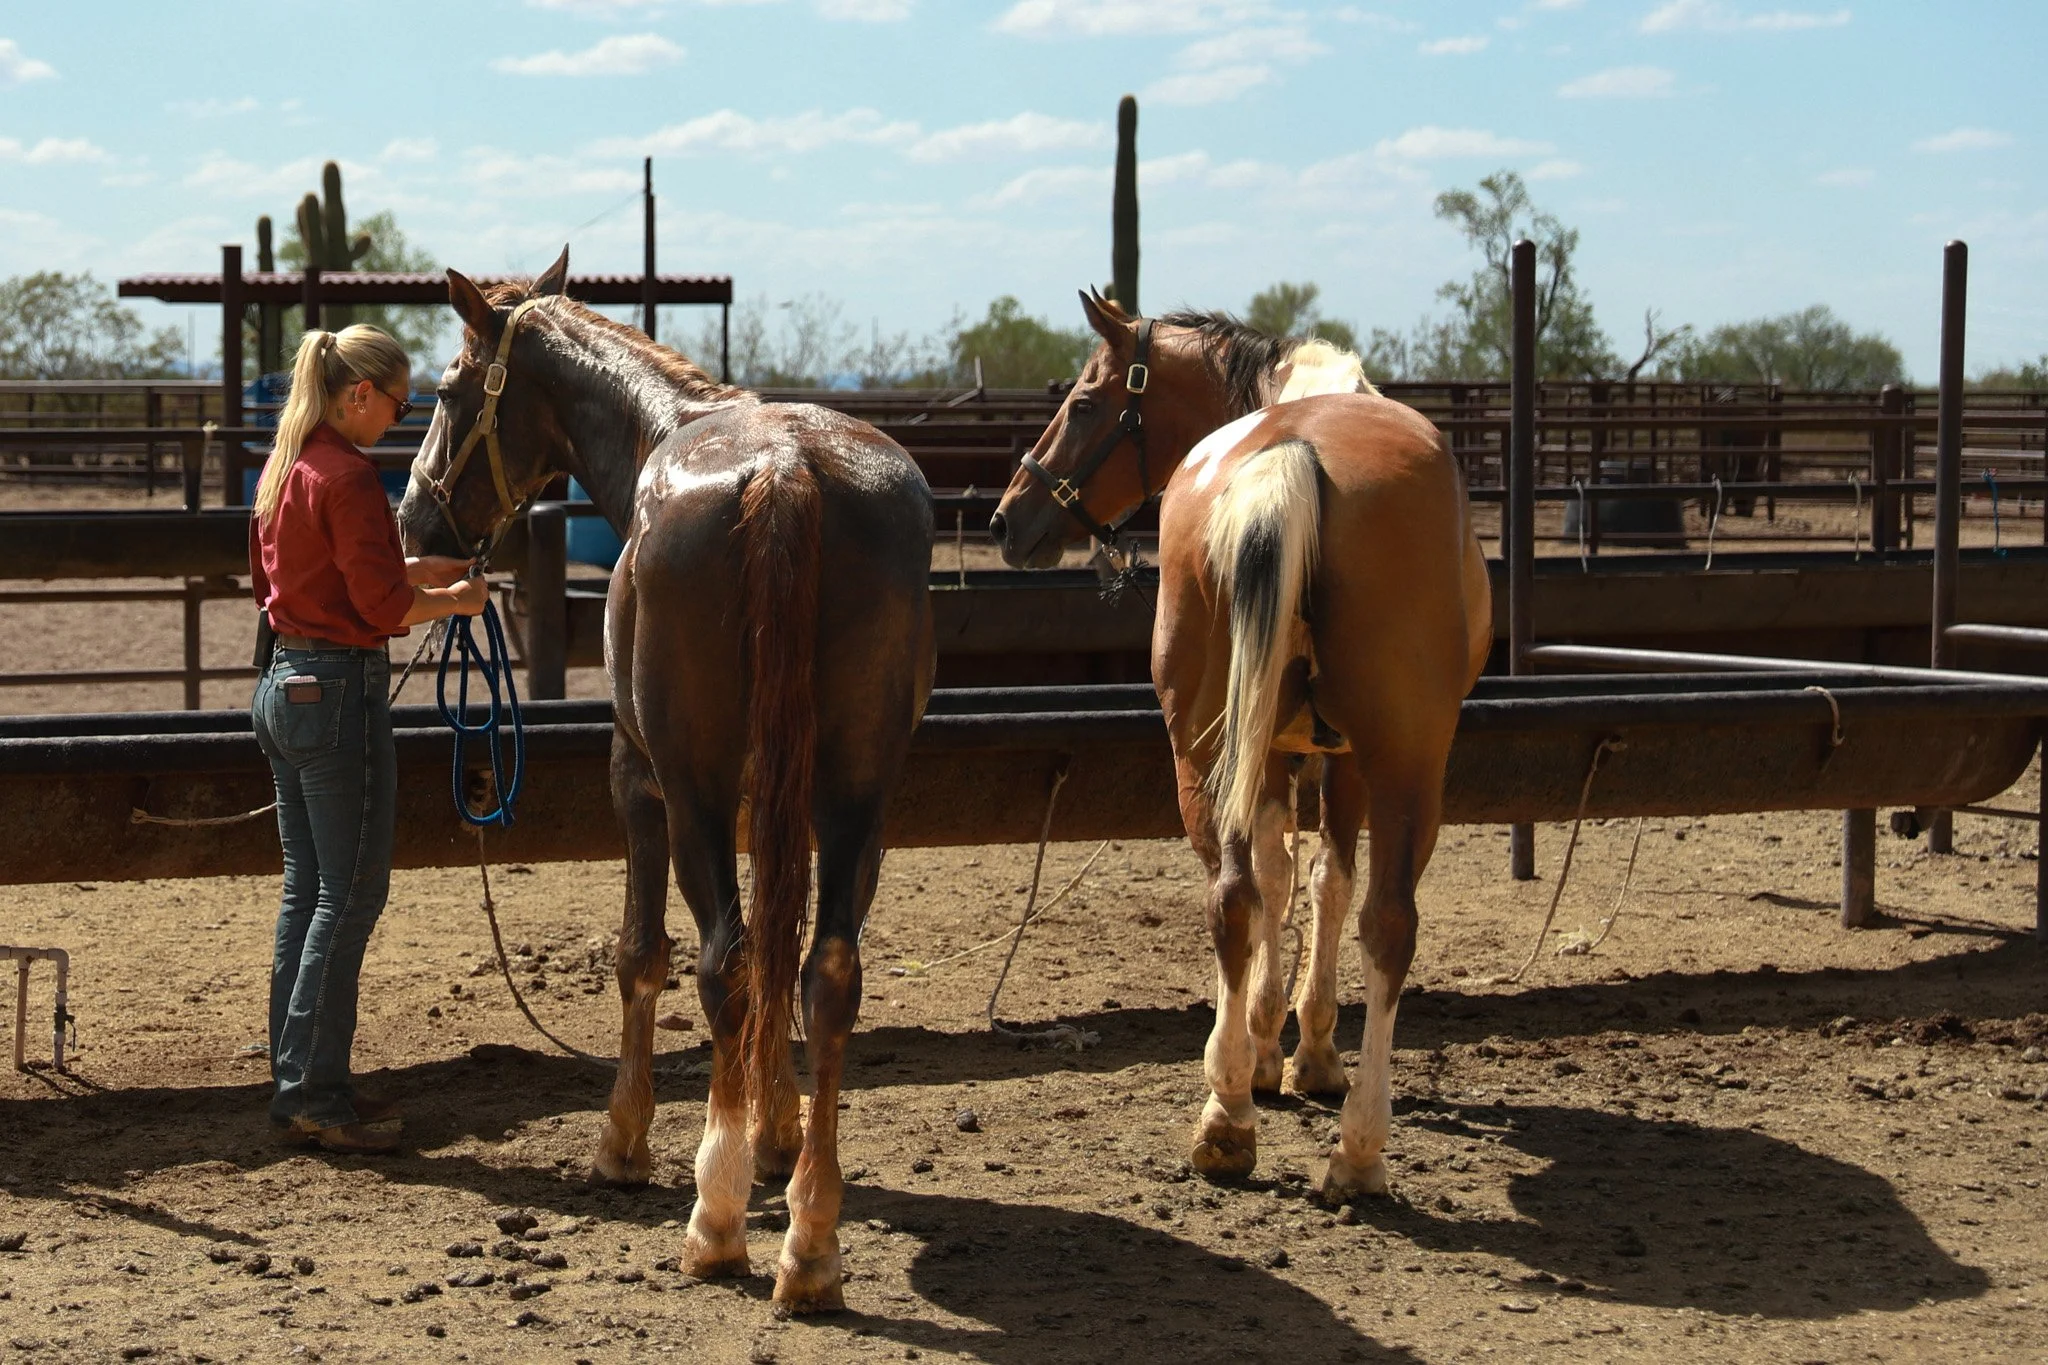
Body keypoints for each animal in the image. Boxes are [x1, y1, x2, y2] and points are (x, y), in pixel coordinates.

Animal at [395, 248, 934, 1312]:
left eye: (444, 389)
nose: (413, 517)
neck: (664, 426)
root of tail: (785, 471)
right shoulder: (793, 801)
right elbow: (783, 946)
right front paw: (776, 1135)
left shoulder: (636, 780)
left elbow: (641, 953)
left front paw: (626, 1140)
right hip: (860, 797)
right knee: (825, 972)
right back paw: (810, 1242)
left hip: (693, 794)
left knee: (722, 960)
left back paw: (715, 1223)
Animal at [989, 293, 1490, 1200]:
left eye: (1083, 403)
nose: (1009, 518)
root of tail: (1294, 452)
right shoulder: (1325, 756)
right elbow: (1312, 879)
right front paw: (1292, 1048)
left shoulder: (1304, 752)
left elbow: (1292, 880)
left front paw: (1279, 1048)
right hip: (1391, 760)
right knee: (1364, 915)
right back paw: (1339, 1139)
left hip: (1219, 747)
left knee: (1257, 900)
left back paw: (1241, 1122)